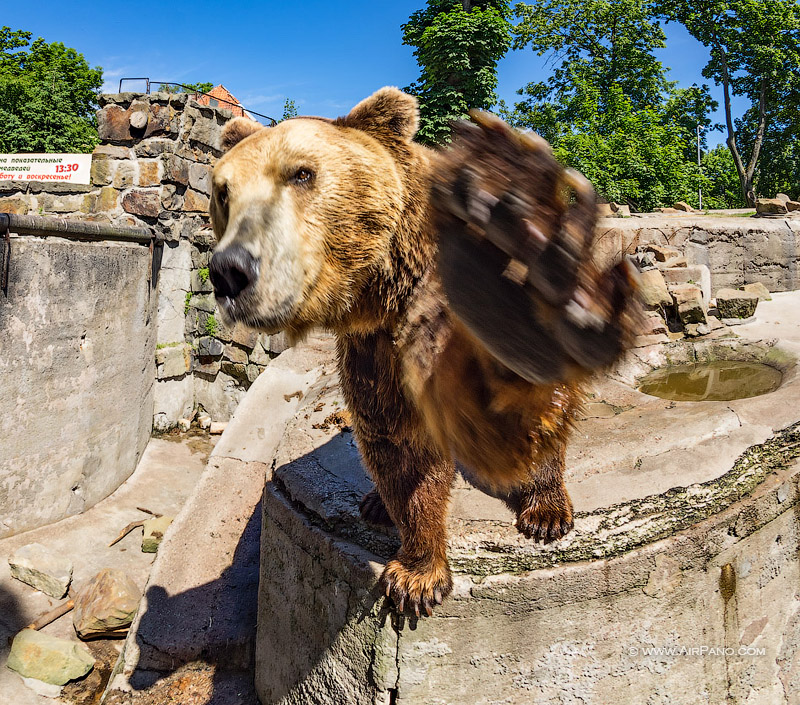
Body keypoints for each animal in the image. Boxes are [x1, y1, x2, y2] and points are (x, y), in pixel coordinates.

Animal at [208, 86, 636, 616]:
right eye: (223, 191)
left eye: (301, 173)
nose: (230, 271)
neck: (387, 293)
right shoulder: (373, 353)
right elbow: (400, 447)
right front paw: (417, 574)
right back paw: (375, 502)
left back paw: (546, 508)